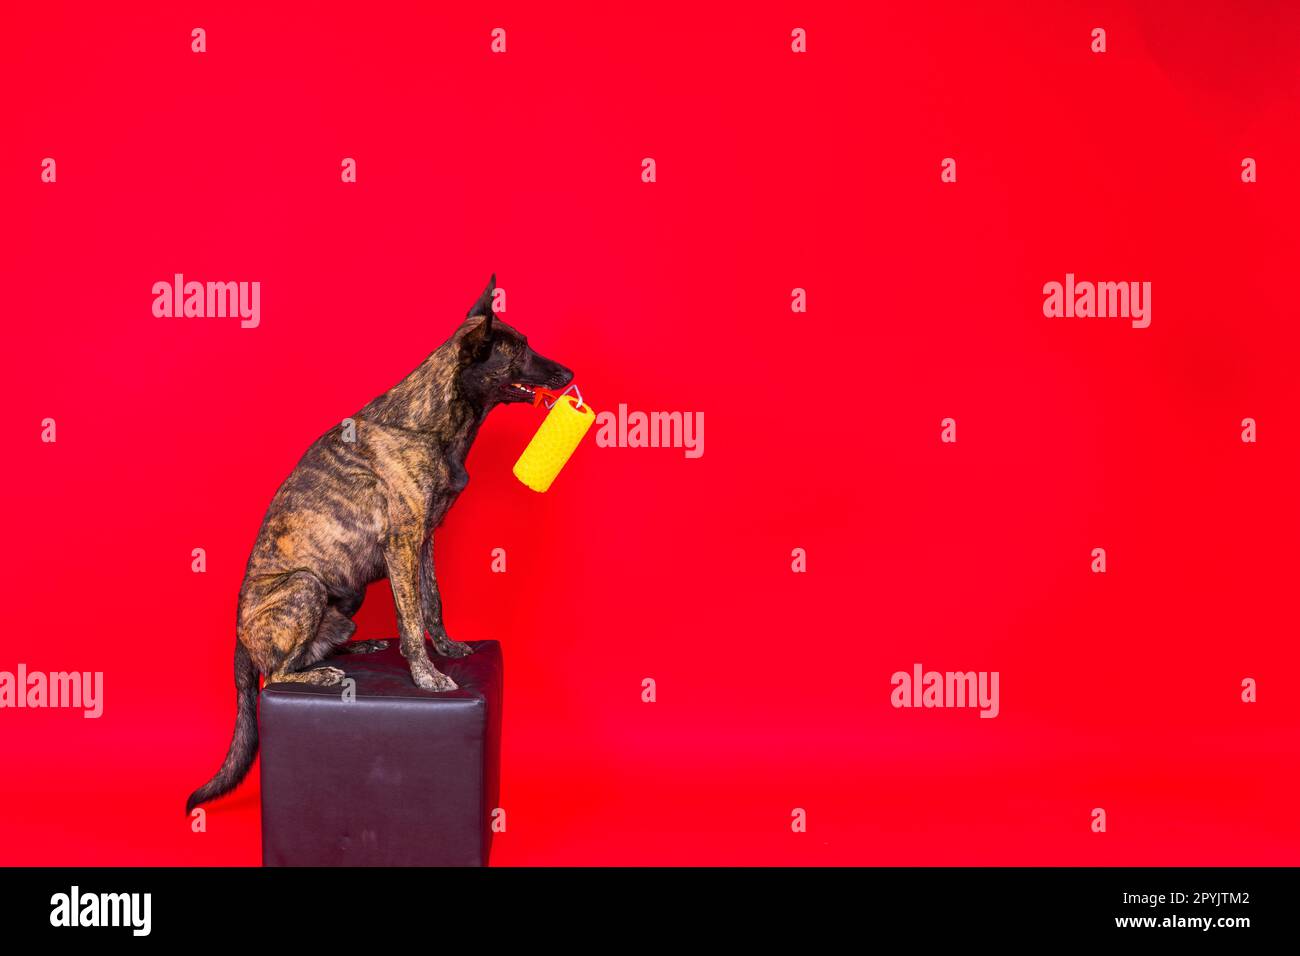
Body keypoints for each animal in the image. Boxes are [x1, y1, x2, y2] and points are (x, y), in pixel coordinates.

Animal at [185, 278, 572, 816]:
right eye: (519, 351)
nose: (570, 374)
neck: (430, 420)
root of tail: (238, 641)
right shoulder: (402, 539)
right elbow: (410, 620)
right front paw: (427, 676)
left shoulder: (424, 539)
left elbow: (432, 603)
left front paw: (448, 648)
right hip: (304, 585)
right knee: (279, 672)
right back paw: (325, 675)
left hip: (346, 595)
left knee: (305, 654)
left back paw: (355, 647)